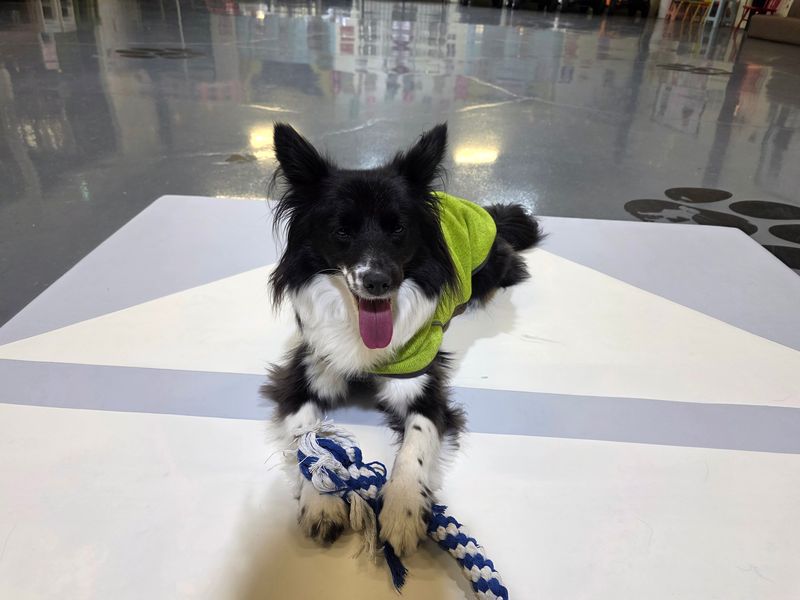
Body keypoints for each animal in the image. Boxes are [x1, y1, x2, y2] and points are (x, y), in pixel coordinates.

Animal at [262, 123, 541, 557]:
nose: (377, 281)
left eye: (398, 229)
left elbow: (417, 443)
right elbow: (307, 438)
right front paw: (322, 502)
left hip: (490, 269)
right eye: (341, 231)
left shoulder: (424, 386)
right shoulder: (303, 371)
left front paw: (403, 510)